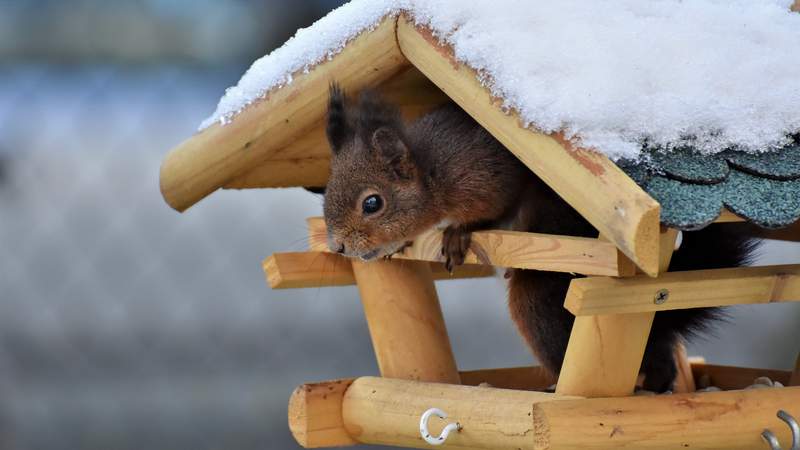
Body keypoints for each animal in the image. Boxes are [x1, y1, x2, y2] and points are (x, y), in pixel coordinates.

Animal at [318, 85, 756, 394]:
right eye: (327, 191)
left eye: (372, 203)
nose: (339, 246)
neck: (432, 173)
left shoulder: (485, 176)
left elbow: (493, 208)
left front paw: (459, 233)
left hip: (540, 297)